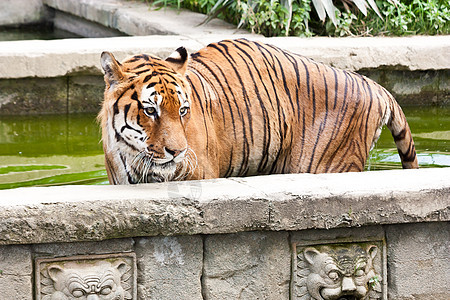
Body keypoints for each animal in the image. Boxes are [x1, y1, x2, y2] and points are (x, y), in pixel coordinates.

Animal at [99, 38, 418, 184]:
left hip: (330, 164)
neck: (132, 156)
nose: (177, 152)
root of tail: (372, 84)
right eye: (150, 110)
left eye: (183, 111)